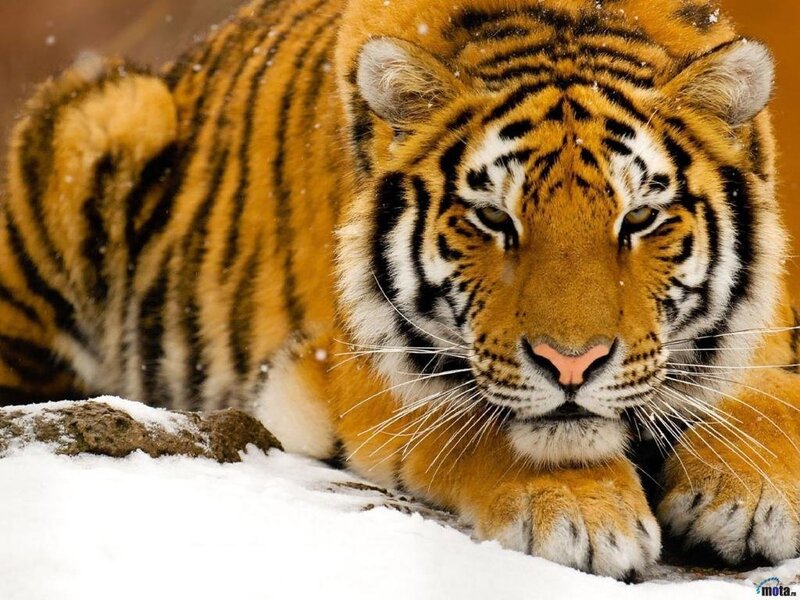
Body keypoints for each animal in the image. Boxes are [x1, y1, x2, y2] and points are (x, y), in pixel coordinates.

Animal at [1, 0, 799, 579]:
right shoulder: (352, 366)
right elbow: (474, 422)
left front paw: (756, 492)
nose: (571, 365)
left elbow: (770, 397)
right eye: (493, 219)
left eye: (638, 219)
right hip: (100, 118)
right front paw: (580, 511)